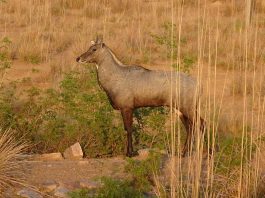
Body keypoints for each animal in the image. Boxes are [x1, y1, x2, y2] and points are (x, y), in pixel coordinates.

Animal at [75, 36, 205, 157]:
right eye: (89, 47)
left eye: (94, 49)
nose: (78, 58)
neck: (116, 75)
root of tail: (198, 85)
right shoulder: (127, 109)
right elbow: (127, 128)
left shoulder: (127, 108)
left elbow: (129, 129)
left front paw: (130, 153)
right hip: (179, 110)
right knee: (190, 127)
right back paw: (183, 153)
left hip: (188, 108)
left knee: (200, 124)